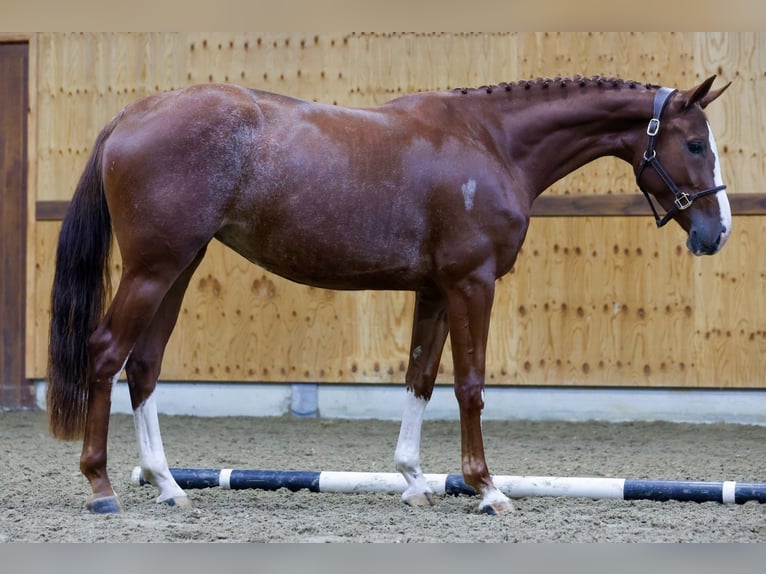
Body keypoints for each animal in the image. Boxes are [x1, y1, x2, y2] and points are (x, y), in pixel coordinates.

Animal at [46, 74, 732, 516]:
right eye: (695, 143)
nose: (716, 232)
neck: (491, 142)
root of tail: (132, 115)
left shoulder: (435, 290)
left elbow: (419, 379)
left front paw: (413, 481)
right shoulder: (472, 283)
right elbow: (470, 385)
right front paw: (487, 489)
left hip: (178, 267)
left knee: (144, 365)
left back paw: (168, 486)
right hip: (153, 269)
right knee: (105, 354)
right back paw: (102, 488)